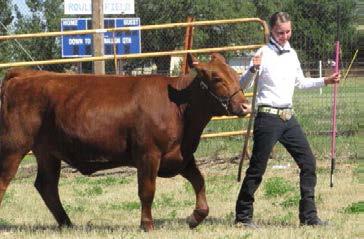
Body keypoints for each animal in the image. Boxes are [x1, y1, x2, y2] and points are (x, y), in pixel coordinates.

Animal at [0, 53, 250, 231]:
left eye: (235, 75)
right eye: (217, 78)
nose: (246, 106)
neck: (179, 107)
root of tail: (25, 74)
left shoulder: (181, 156)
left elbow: (199, 182)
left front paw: (194, 218)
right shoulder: (148, 155)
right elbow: (147, 191)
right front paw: (147, 225)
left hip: (47, 152)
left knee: (47, 185)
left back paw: (67, 223)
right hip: (13, 146)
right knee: (6, 181)